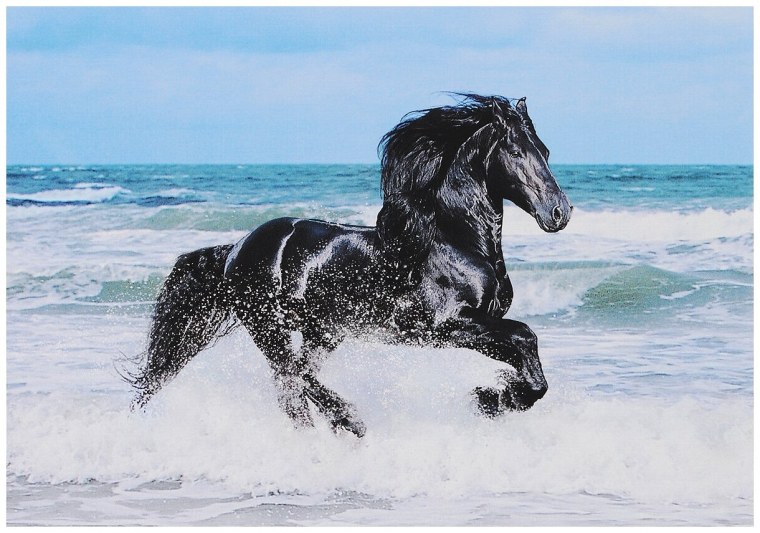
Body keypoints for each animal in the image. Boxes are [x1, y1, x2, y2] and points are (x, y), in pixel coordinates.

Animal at [128, 94, 572, 438]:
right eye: (515, 152)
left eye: (546, 151)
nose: (559, 212)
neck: (455, 240)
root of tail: (236, 248)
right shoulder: (448, 326)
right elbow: (526, 337)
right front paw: (490, 399)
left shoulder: (478, 325)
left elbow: (525, 353)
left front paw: (497, 398)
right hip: (270, 328)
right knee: (291, 375)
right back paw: (346, 422)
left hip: (322, 332)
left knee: (293, 380)